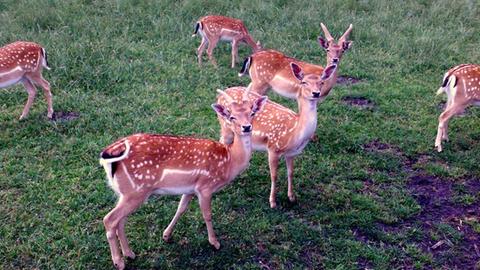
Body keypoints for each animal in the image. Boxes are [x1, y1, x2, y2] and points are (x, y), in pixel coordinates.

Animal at [99, 89, 268, 268]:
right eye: (231, 116)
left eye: (252, 113)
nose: (246, 127)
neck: (230, 161)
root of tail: (109, 155)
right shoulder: (205, 186)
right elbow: (207, 214)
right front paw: (215, 243)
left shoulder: (190, 188)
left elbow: (181, 208)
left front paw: (166, 235)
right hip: (136, 191)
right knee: (109, 219)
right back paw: (119, 262)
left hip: (125, 192)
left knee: (120, 221)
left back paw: (130, 254)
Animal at [218, 62, 338, 207]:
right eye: (304, 82)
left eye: (321, 82)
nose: (316, 93)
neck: (295, 132)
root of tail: (220, 96)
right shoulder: (273, 148)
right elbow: (274, 176)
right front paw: (273, 202)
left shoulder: (292, 153)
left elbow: (290, 172)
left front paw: (292, 197)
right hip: (226, 128)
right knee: (222, 142)